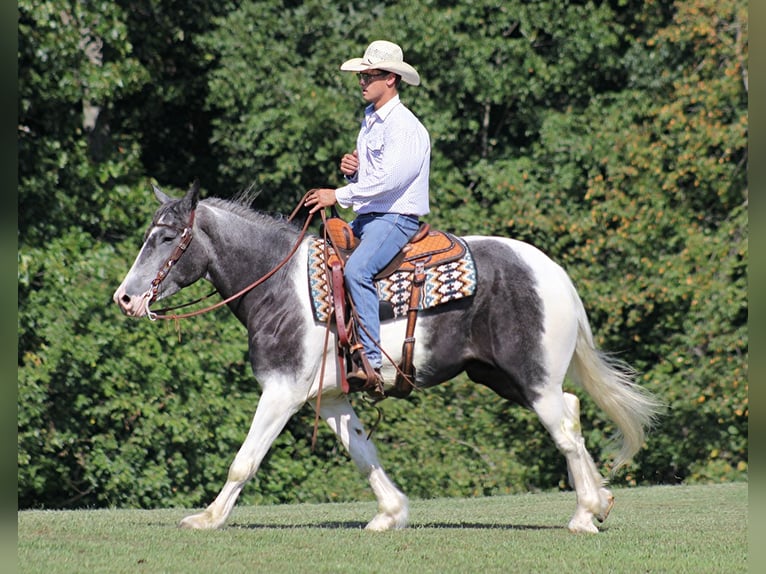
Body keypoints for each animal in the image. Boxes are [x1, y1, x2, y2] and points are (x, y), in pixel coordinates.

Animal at [111, 183, 664, 536]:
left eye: (166, 238)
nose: (125, 298)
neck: (278, 285)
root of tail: (553, 272)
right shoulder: (331, 397)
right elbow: (363, 453)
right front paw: (390, 513)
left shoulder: (282, 391)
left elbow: (243, 461)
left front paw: (207, 518)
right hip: (505, 378)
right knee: (573, 412)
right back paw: (598, 504)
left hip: (532, 379)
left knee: (565, 430)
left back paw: (586, 513)